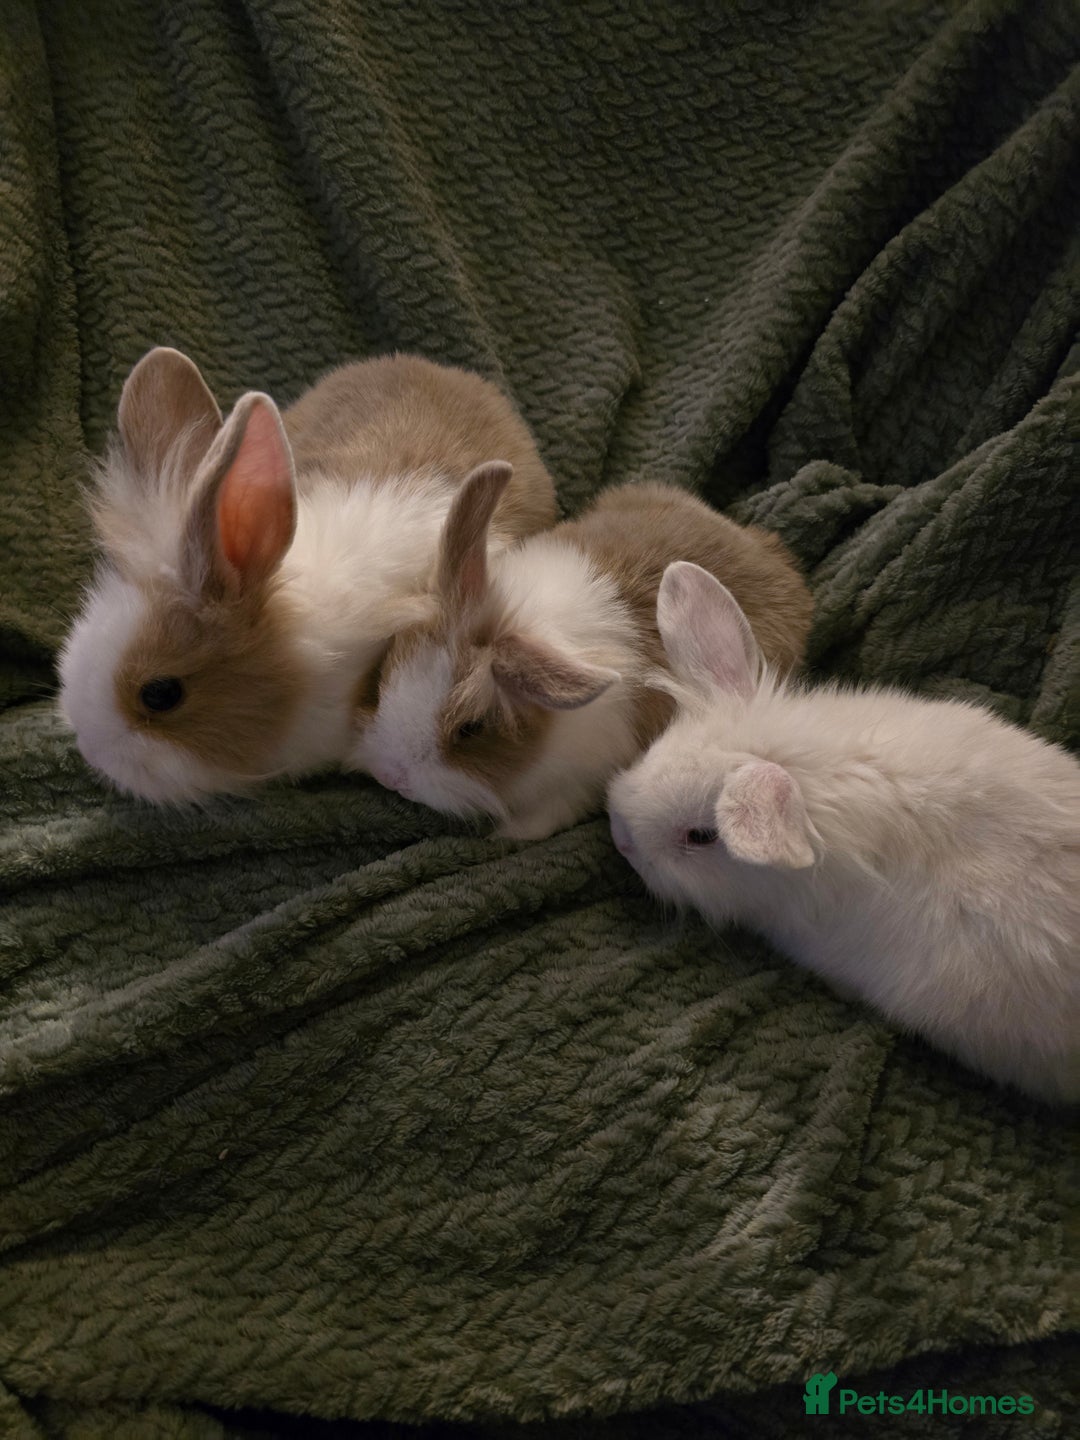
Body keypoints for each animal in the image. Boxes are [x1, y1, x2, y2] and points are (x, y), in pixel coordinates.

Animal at [351, 467, 813, 840]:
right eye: (385, 674)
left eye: (471, 729)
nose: (390, 778)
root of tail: (769, 552)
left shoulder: (579, 782)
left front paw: (507, 835)